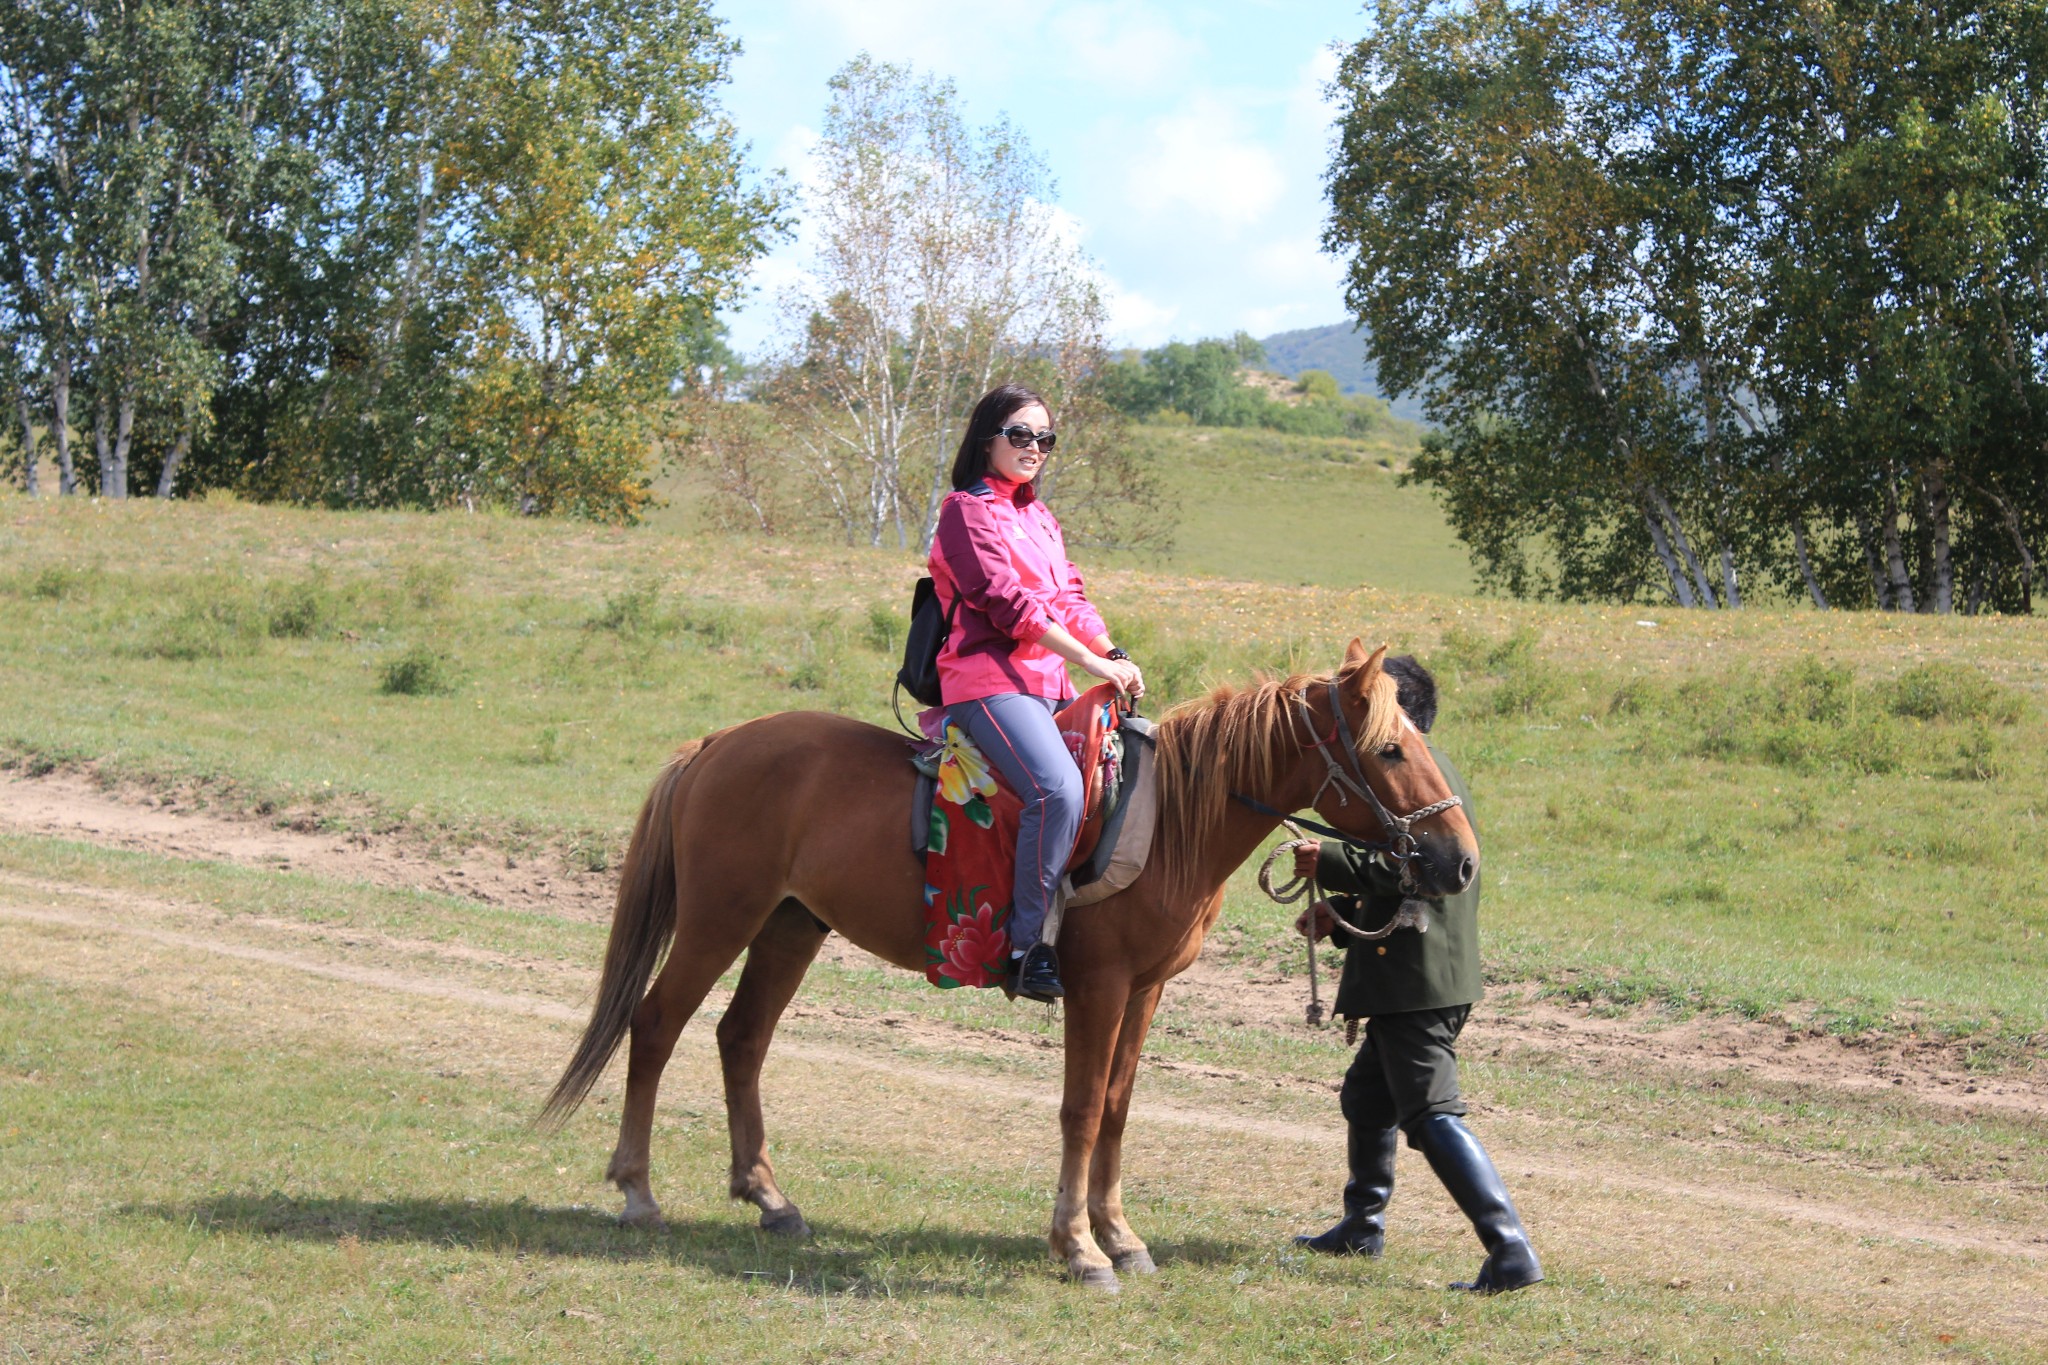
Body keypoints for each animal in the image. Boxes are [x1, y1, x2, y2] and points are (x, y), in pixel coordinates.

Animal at [540, 642, 1474, 1293]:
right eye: (1391, 751)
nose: (1459, 859)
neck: (1172, 817)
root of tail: (716, 743)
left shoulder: (1145, 991)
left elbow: (1118, 1109)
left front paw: (1120, 1234)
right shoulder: (1096, 987)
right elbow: (1081, 1111)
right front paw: (1080, 1246)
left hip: (788, 926)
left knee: (741, 1038)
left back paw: (769, 1197)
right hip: (719, 918)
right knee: (656, 1024)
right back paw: (637, 1191)